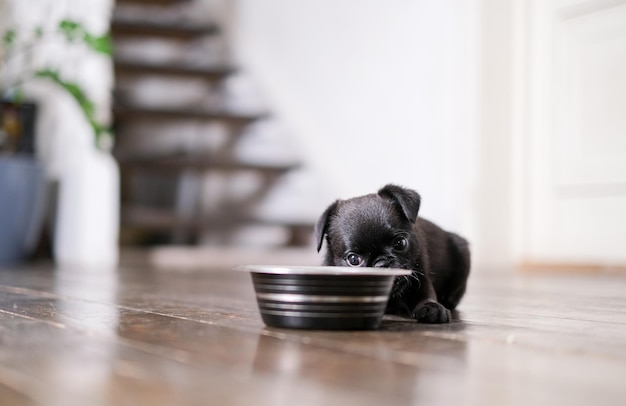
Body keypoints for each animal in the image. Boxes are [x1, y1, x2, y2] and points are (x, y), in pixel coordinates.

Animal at [316, 185, 468, 324]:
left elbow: (425, 295)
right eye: (353, 260)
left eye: (400, 243)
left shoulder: (420, 275)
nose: (382, 263)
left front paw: (432, 307)